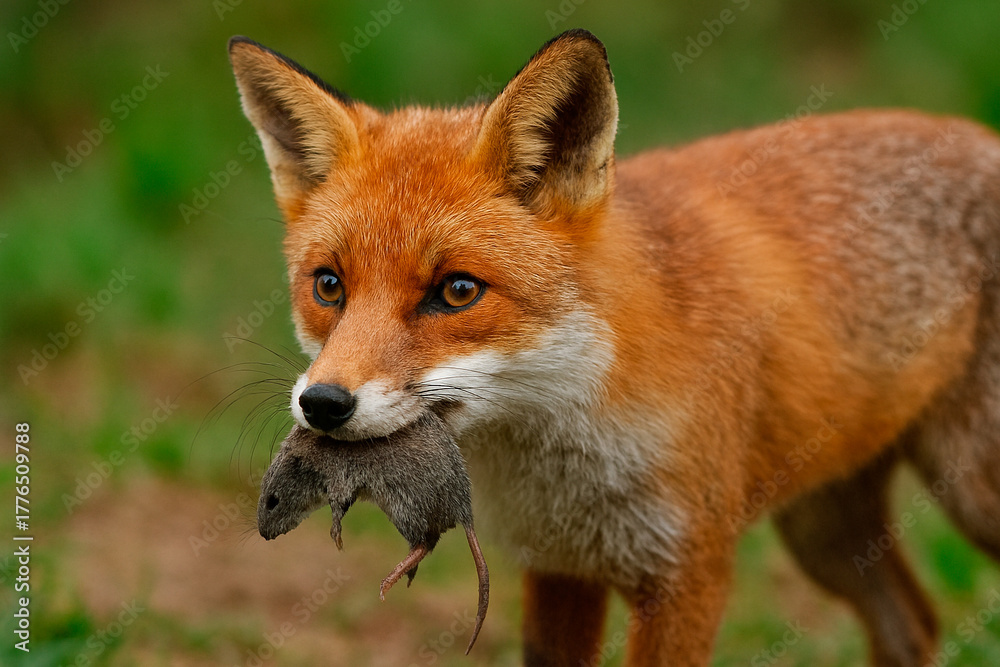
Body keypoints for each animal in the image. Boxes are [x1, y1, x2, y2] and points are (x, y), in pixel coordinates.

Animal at [227, 29, 1000, 666]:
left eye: (457, 291)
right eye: (329, 285)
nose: (323, 403)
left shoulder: (686, 573)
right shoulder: (561, 568)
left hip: (967, 492)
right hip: (824, 531)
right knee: (914, 622)